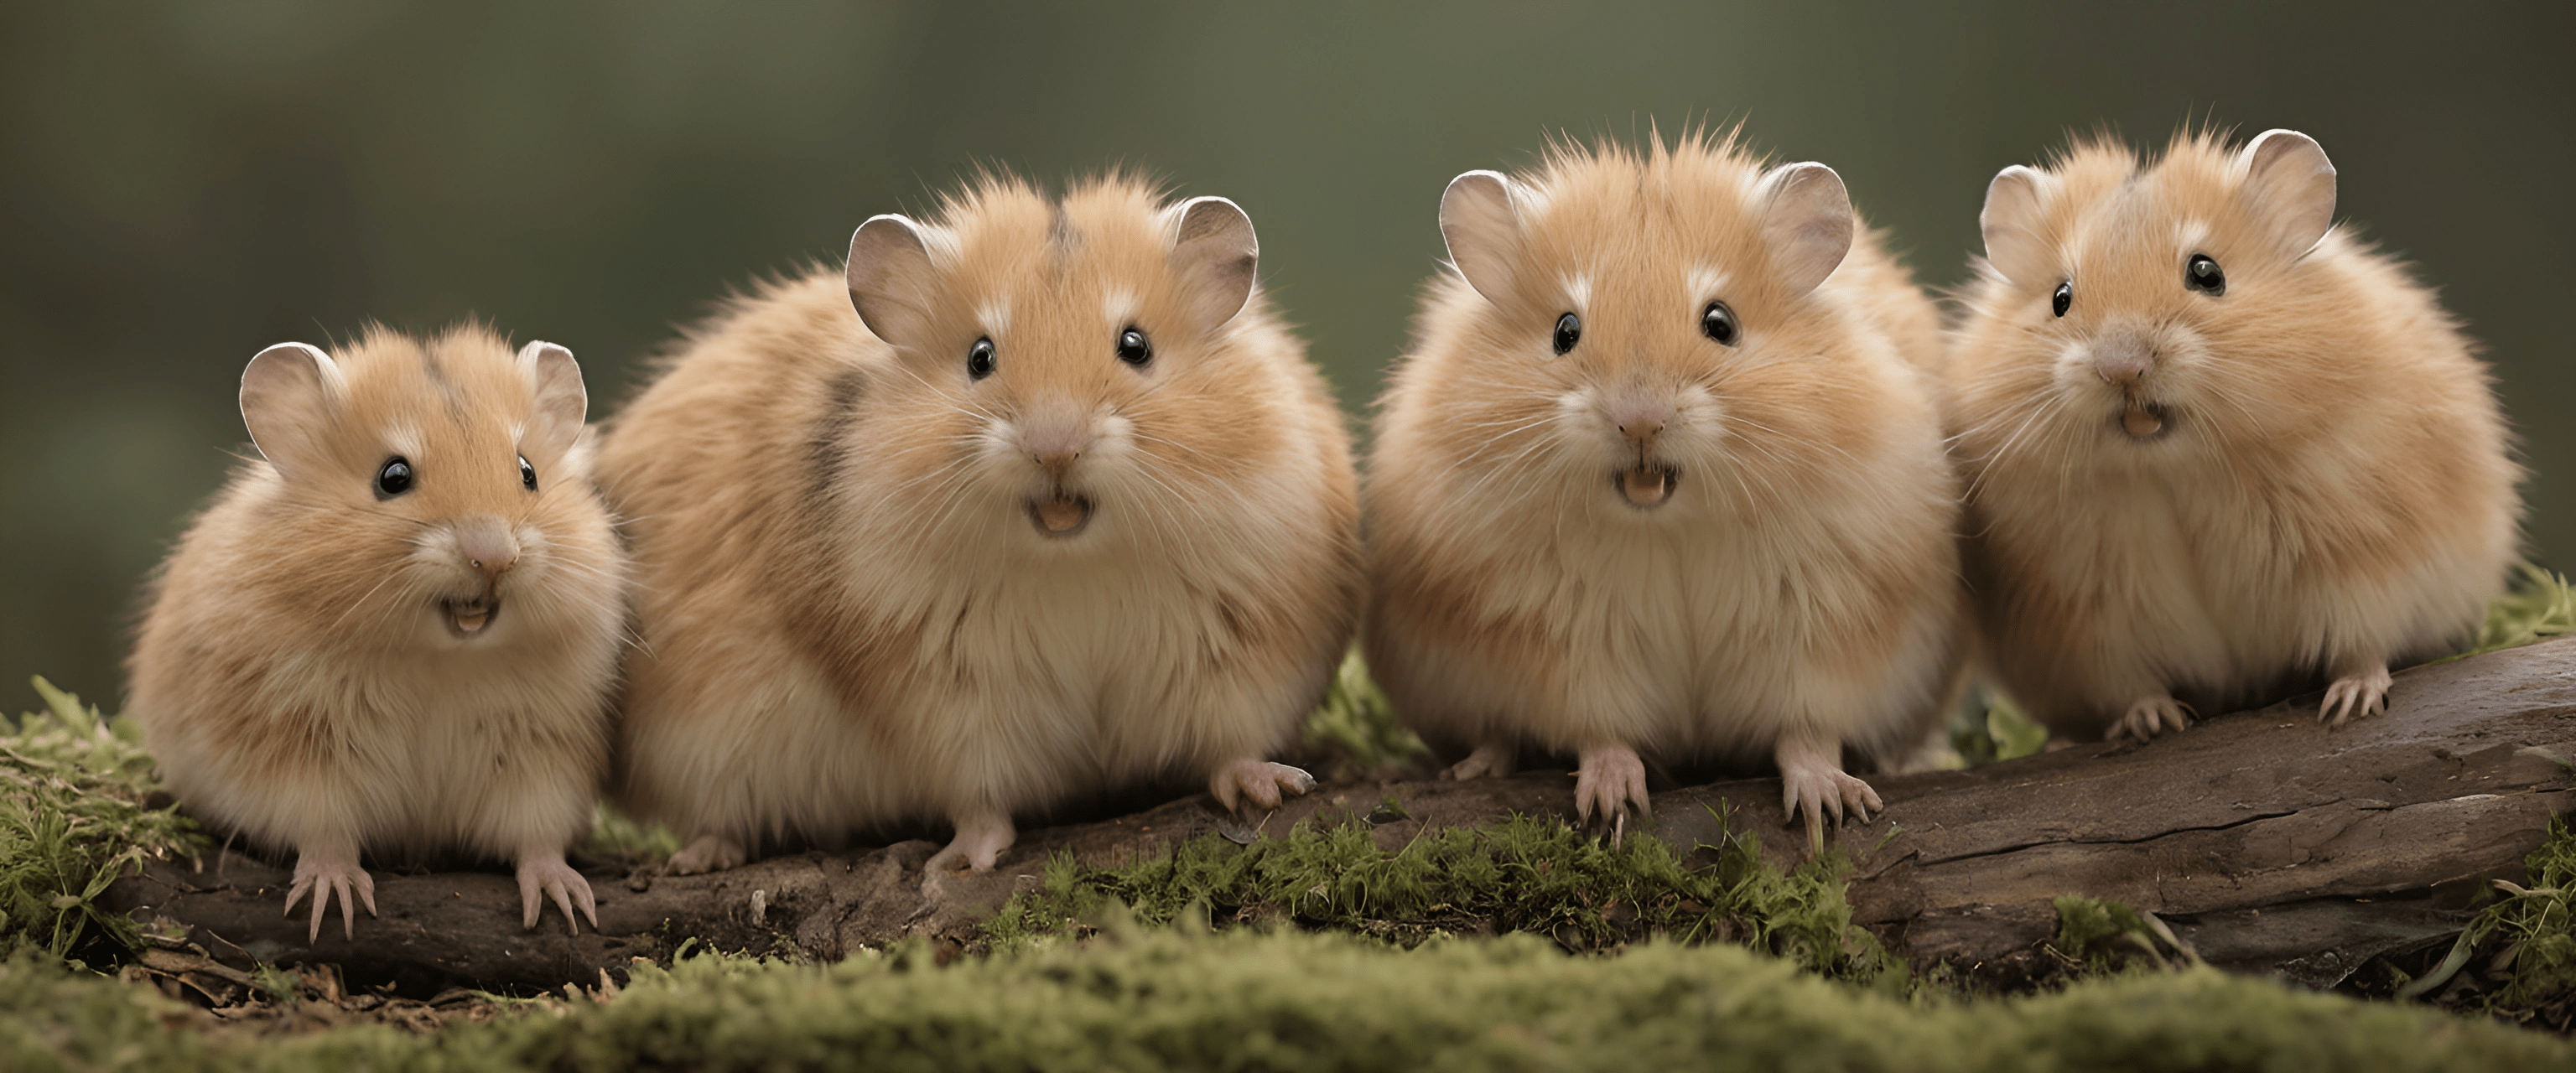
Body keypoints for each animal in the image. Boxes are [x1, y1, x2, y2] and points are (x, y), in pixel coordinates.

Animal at [128, 325, 626, 940]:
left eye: (528, 472)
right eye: (393, 477)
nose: (495, 558)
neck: (438, 656)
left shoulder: (543, 755)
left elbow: (537, 839)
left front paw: (567, 903)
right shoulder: (297, 754)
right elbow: (324, 831)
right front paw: (333, 903)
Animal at [597, 173, 1360, 878]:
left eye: (1135, 345)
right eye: (980, 357)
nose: (1054, 449)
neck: (1075, 563)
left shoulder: (1242, 651)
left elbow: (1232, 744)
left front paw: (1275, 789)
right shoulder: (942, 690)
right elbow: (979, 792)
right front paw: (959, 864)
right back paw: (698, 859)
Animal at [1364, 134, 1965, 843]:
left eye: (1721, 323)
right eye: (1565, 331)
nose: (1640, 421)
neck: (1668, 522)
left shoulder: (1821, 631)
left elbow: (1806, 731)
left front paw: (1832, 810)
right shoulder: (1565, 640)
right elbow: (1600, 731)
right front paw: (1614, 807)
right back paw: (1478, 766)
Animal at [1946, 129, 2519, 743]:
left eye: (2207, 273)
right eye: (2060, 298)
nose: (2122, 368)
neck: (2172, 464)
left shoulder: (2369, 558)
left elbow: (2363, 644)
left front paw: (2350, 705)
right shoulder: (2087, 614)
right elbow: (2130, 685)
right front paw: (2153, 722)